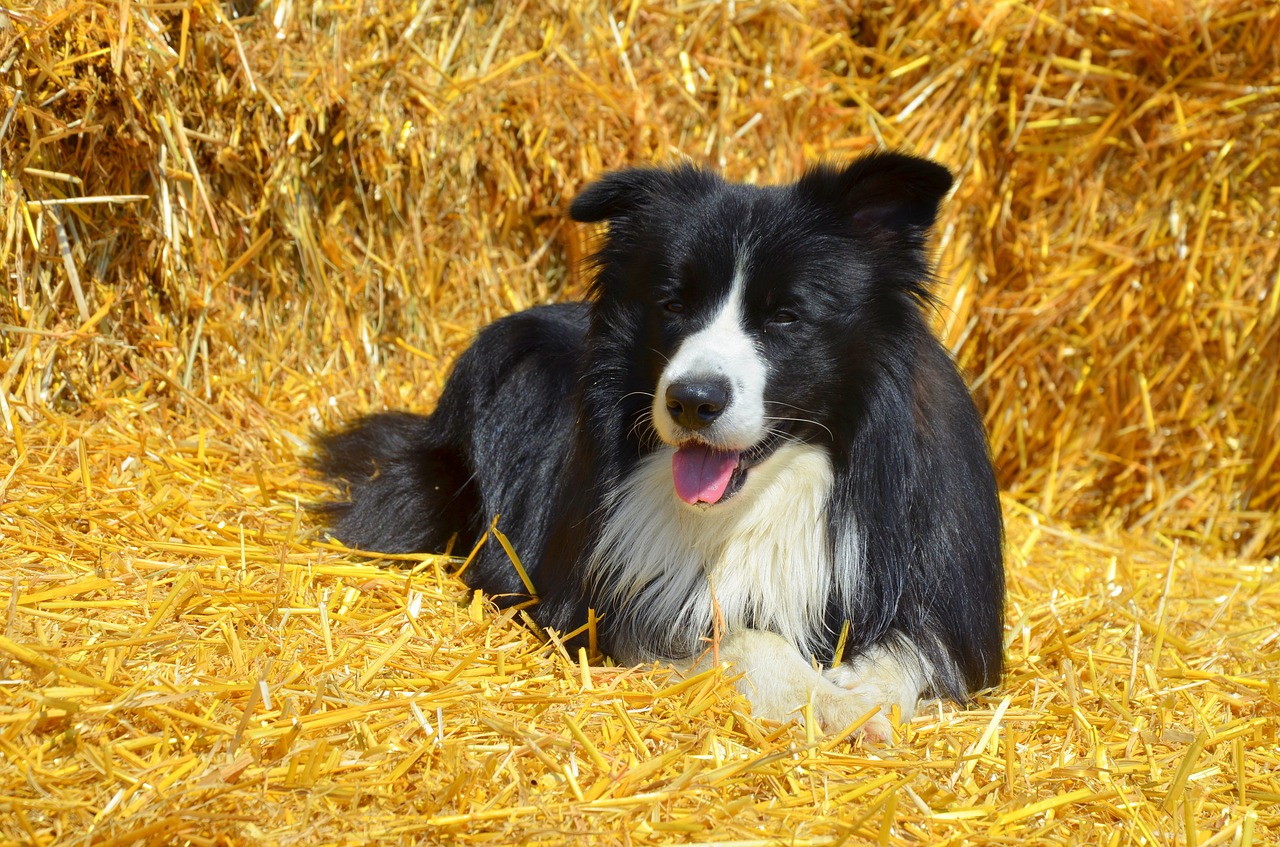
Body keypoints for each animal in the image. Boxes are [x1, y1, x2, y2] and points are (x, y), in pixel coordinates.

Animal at [314, 152, 1003, 742]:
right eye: (673, 303)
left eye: (786, 316)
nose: (692, 400)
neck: (771, 496)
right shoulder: (608, 599)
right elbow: (741, 639)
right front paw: (827, 703)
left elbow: (916, 649)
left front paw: (859, 696)